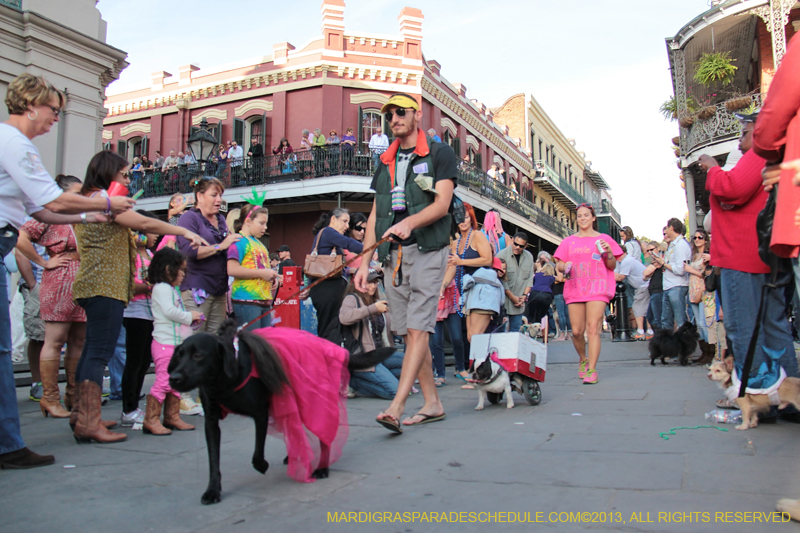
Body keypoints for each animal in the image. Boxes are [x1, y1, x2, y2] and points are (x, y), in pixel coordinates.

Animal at [169, 318, 394, 504]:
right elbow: (213, 460)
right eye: (178, 356)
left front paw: (262, 466)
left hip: (312, 398)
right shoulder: (211, 423)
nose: (173, 378)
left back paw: (322, 467)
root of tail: (328, 346)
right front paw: (213, 491)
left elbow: (257, 454)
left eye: (198, 355)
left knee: (323, 435)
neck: (224, 382)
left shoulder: (260, 413)